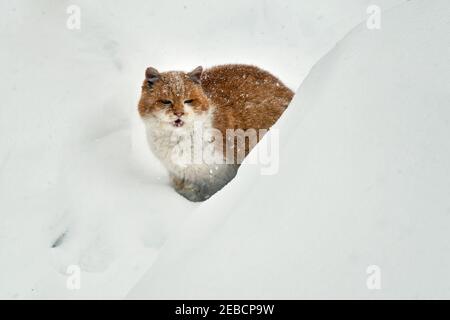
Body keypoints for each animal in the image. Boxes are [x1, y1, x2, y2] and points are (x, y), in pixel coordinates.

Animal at [137, 63, 294, 201]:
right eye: (166, 101)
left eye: (188, 101)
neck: (177, 139)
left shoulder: (217, 173)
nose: (179, 113)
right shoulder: (182, 176)